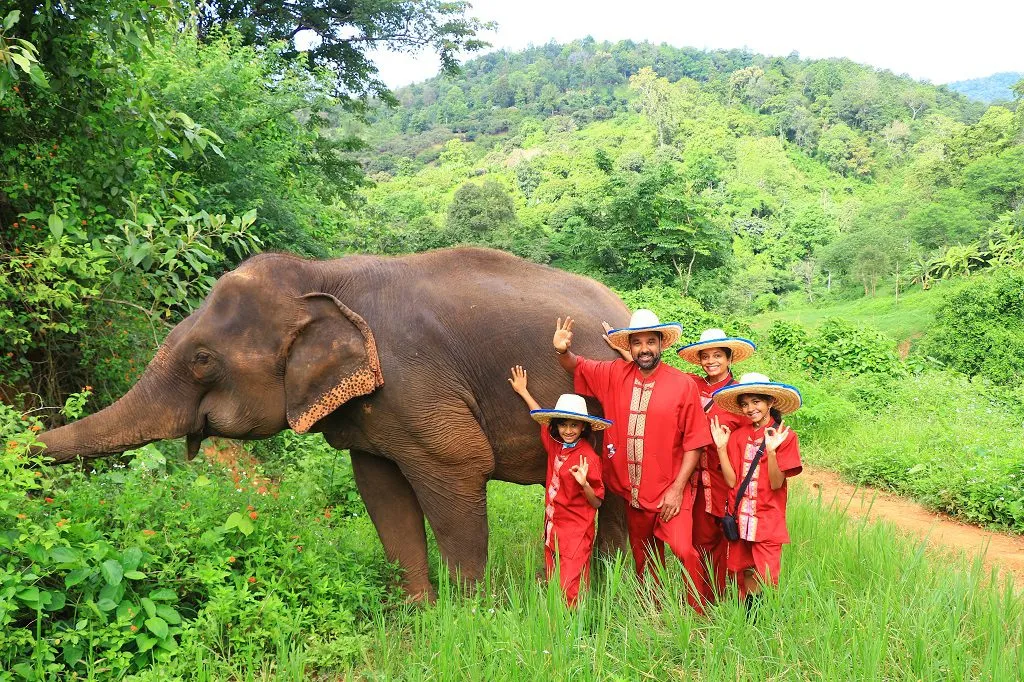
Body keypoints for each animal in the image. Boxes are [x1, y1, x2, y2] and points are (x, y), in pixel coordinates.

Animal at [39, 246, 631, 599]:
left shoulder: (416, 384)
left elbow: (461, 466)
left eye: (202, 360)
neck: (323, 272)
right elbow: (380, 493)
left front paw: (470, 613)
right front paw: (417, 613)